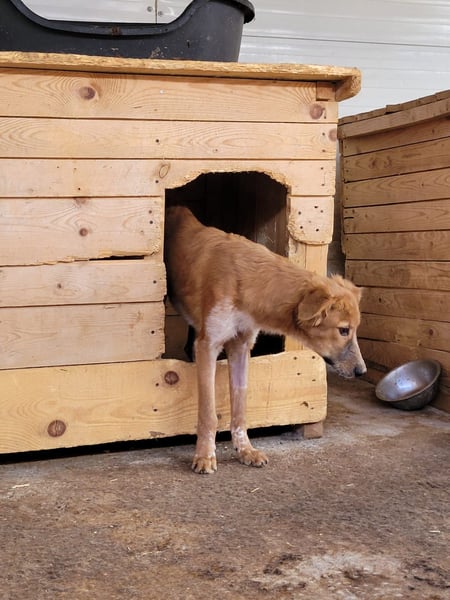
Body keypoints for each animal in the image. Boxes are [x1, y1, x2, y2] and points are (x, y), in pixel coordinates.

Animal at [164, 206, 366, 474]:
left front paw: (245, 450)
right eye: (343, 330)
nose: (362, 371)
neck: (247, 281)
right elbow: (208, 413)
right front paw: (205, 455)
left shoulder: (240, 346)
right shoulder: (209, 345)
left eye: (354, 330)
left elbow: (240, 406)